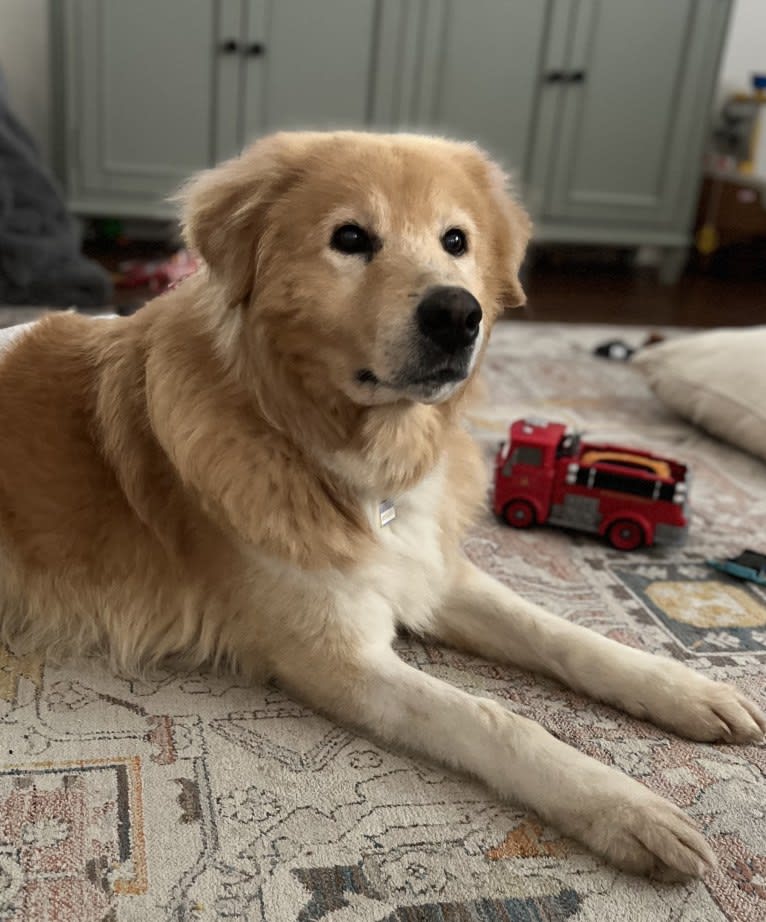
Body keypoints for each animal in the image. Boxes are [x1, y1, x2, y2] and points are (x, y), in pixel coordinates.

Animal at [0, 131, 764, 876]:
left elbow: (562, 634)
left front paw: (684, 689)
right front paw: (623, 806)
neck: (348, 456)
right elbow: (496, 718)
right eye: (350, 237)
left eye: (456, 240)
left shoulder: (433, 571)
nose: (458, 314)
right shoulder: (341, 658)